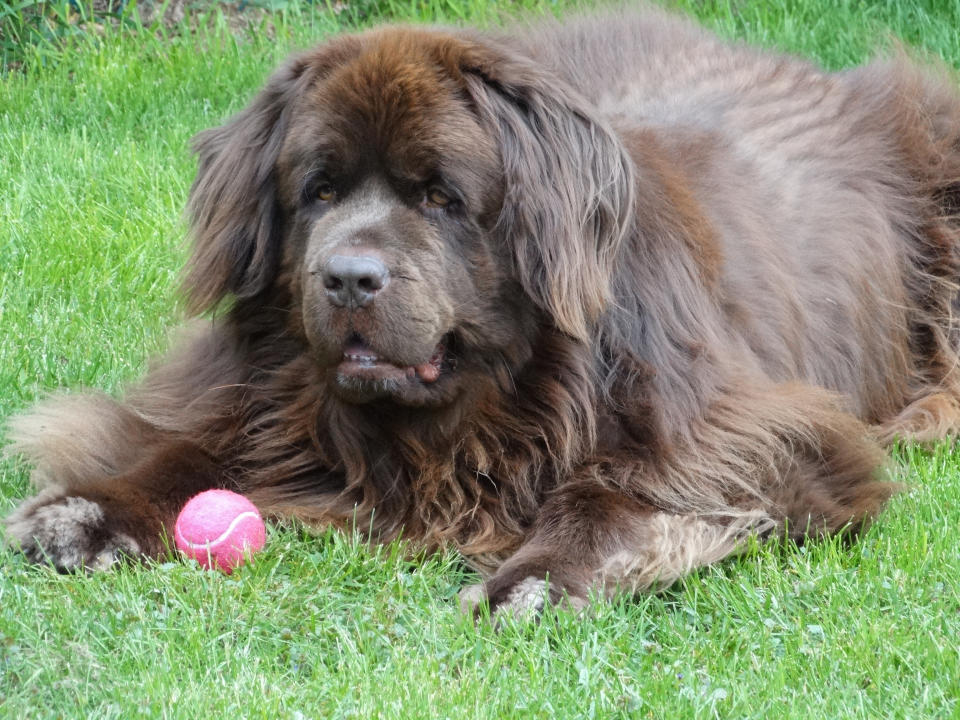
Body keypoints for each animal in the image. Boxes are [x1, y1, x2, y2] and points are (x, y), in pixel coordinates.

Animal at [7, 5, 960, 616]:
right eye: (318, 191)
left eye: (440, 197)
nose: (348, 278)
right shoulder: (252, 392)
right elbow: (187, 445)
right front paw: (85, 513)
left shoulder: (752, 429)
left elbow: (619, 492)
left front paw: (535, 581)